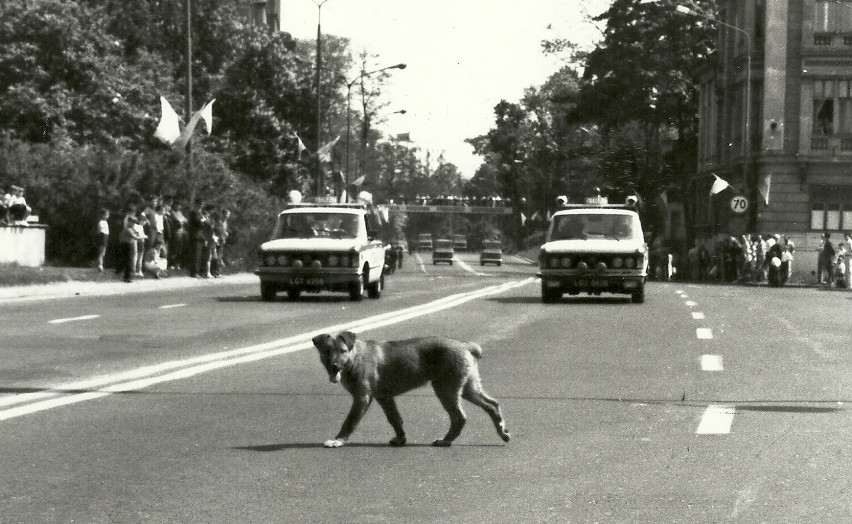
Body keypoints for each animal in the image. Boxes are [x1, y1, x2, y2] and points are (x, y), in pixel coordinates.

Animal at [314, 332, 510, 446]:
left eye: (342, 351)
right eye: (326, 352)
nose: (334, 366)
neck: (355, 357)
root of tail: (465, 346)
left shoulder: (362, 397)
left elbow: (350, 421)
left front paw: (338, 440)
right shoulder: (384, 397)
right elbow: (395, 419)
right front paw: (401, 439)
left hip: (445, 389)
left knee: (459, 417)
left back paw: (445, 441)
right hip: (468, 387)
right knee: (492, 405)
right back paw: (503, 432)